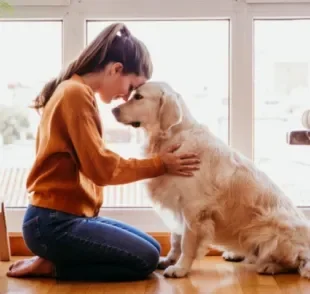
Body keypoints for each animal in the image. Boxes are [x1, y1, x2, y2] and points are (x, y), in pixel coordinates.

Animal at [112, 81, 310, 280]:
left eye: (138, 97)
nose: (113, 110)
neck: (172, 136)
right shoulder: (178, 205)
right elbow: (175, 239)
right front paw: (169, 260)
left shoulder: (193, 208)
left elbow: (186, 243)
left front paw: (180, 268)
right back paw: (236, 254)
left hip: (273, 229)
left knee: (295, 261)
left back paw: (270, 266)